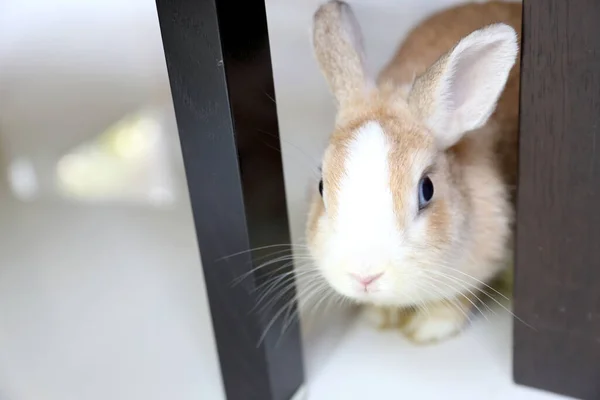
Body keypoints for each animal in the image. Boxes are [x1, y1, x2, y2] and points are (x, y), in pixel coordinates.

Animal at [304, 0, 520, 344]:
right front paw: (380, 317)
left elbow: (455, 300)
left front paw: (427, 331)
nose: (364, 276)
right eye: (322, 186)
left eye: (427, 189)